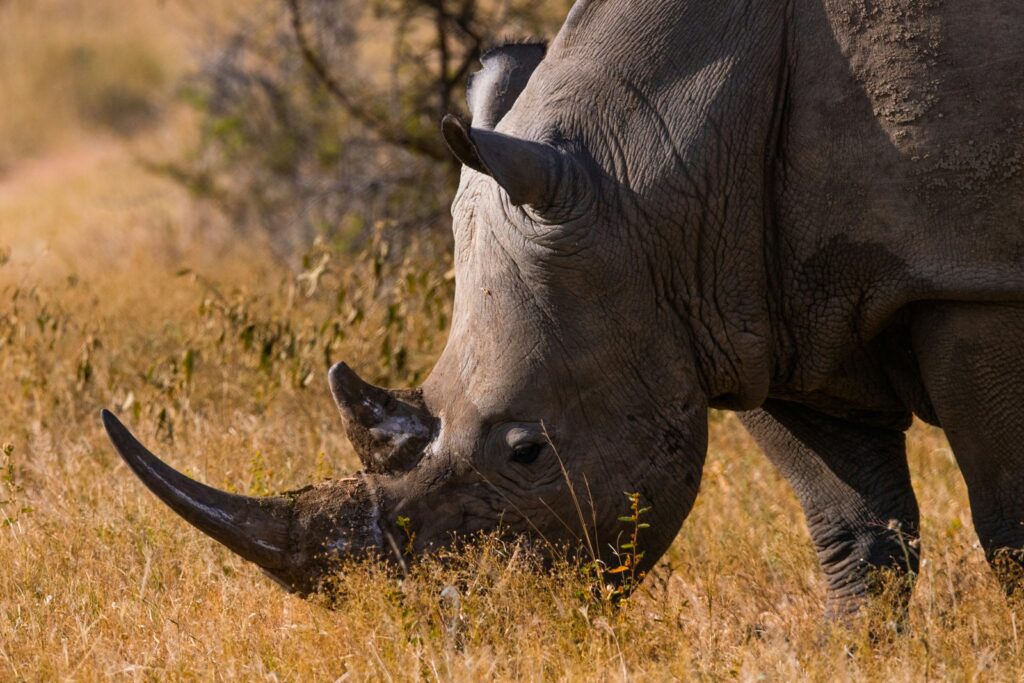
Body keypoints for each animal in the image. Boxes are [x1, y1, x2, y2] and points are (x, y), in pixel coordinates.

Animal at [105, 0, 1024, 618]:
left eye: (527, 450)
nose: (452, 620)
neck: (655, 176)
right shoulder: (752, 309)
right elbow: (856, 533)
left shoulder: (974, 280)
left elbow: (1007, 521)